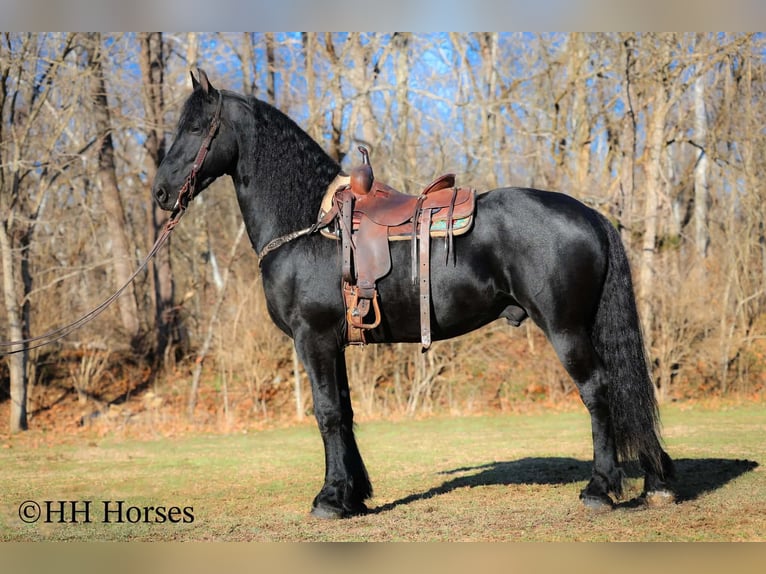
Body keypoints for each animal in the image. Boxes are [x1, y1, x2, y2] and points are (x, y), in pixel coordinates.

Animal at [152, 69, 675, 519]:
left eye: (196, 128)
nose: (160, 192)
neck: (307, 226)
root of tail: (590, 214)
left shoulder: (313, 339)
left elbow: (327, 413)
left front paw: (330, 499)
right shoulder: (335, 344)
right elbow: (345, 411)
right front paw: (354, 495)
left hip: (566, 329)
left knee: (598, 390)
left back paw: (600, 489)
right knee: (622, 389)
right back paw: (657, 482)